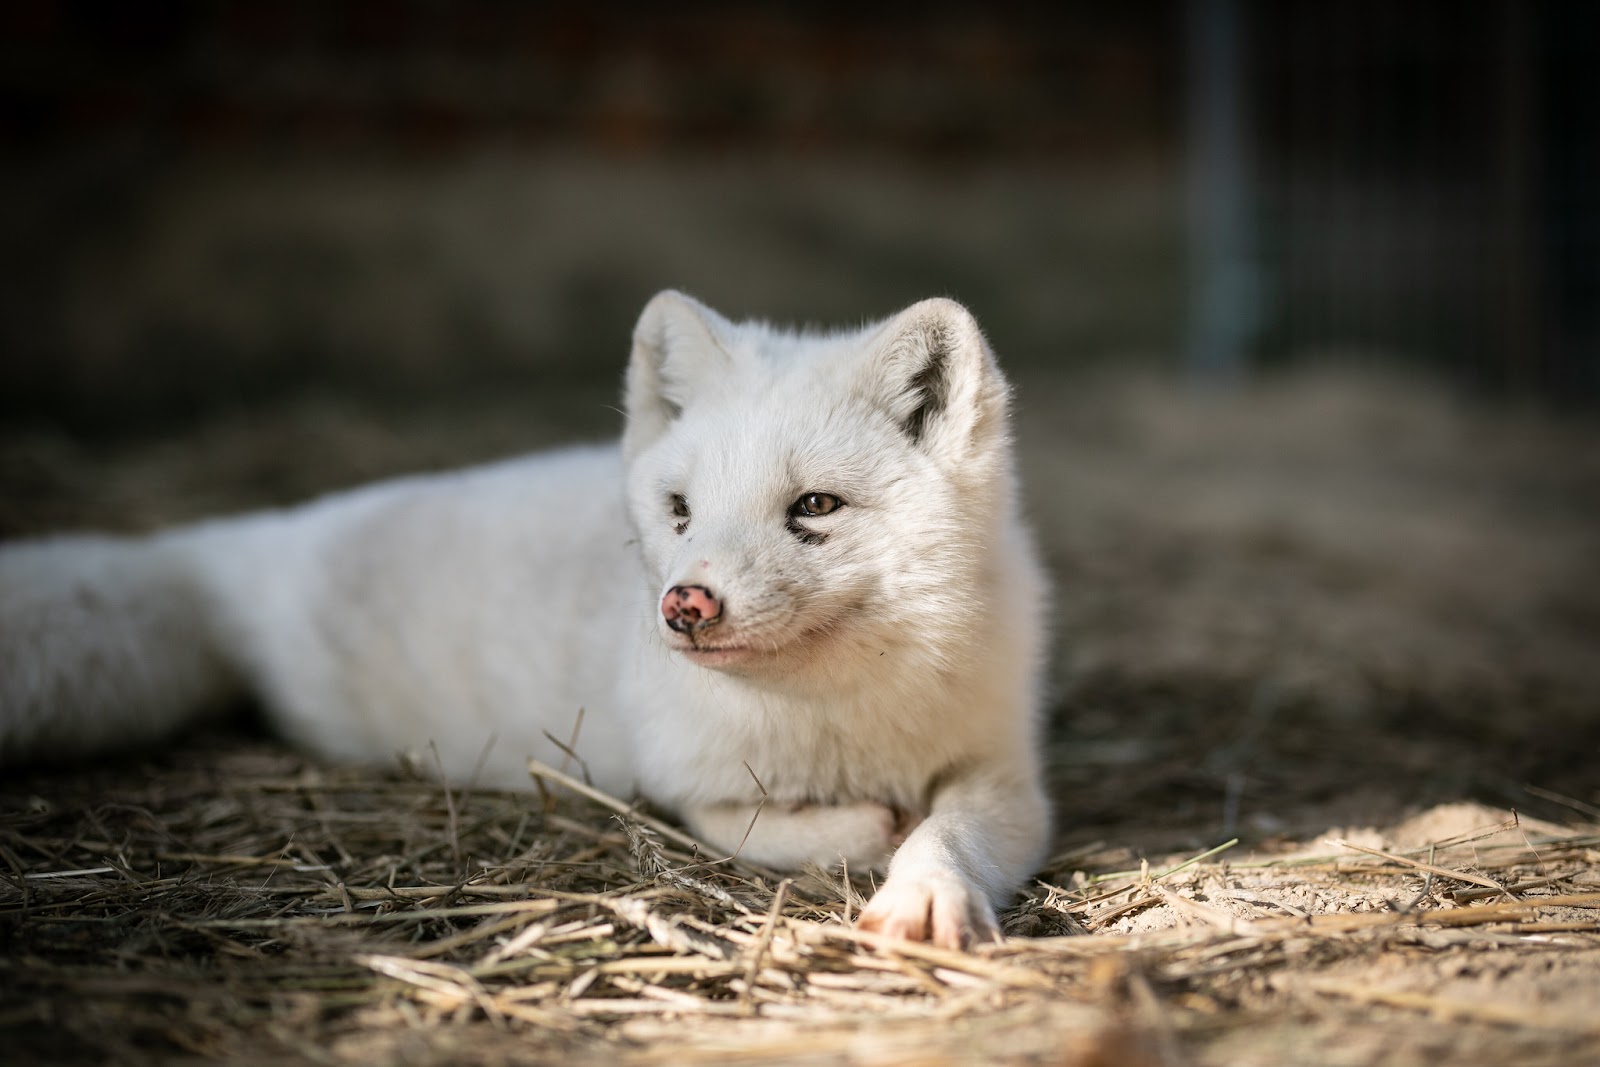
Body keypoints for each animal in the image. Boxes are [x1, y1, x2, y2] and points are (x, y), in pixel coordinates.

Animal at [0, 292, 1049, 953]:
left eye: (816, 506)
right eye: (679, 509)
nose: (686, 605)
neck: (836, 717)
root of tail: (239, 540)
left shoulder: (1007, 774)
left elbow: (950, 830)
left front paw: (927, 892)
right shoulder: (679, 781)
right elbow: (770, 825)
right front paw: (872, 829)